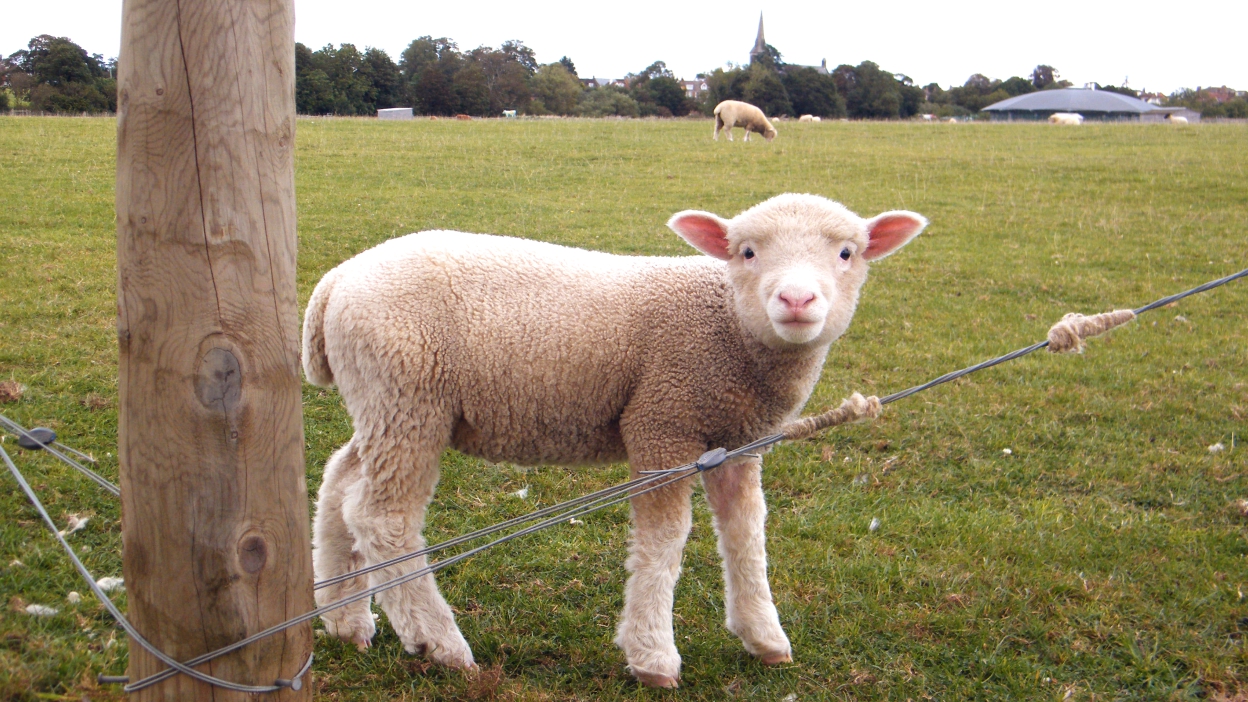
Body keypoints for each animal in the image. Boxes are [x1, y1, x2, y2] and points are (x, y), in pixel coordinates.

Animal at [302, 193, 926, 687]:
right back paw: (441, 644)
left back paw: (344, 620)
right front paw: (652, 656)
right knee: (384, 518)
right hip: (409, 394)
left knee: (338, 484)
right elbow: (664, 539)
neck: (728, 327)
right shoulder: (662, 420)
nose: (796, 301)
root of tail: (335, 282)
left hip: (382, 403)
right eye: (746, 252)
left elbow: (747, 533)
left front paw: (764, 637)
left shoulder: (741, 441)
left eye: (847, 253)